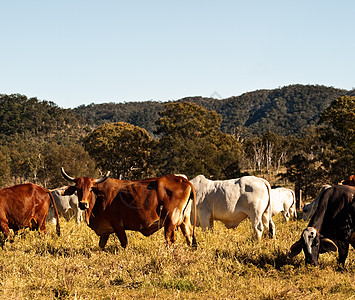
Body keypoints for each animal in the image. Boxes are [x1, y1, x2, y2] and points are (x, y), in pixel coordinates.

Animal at [59, 169, 196, 248]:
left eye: (91, 188)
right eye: (78, 188)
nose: (83, 204)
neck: (99, 198)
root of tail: (182, 179)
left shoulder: (118, 225)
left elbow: (124, 243)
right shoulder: (105, 230)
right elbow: (101, 245)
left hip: (170, 220)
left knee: (170, 240)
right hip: (184, 220)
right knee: (189, 237)